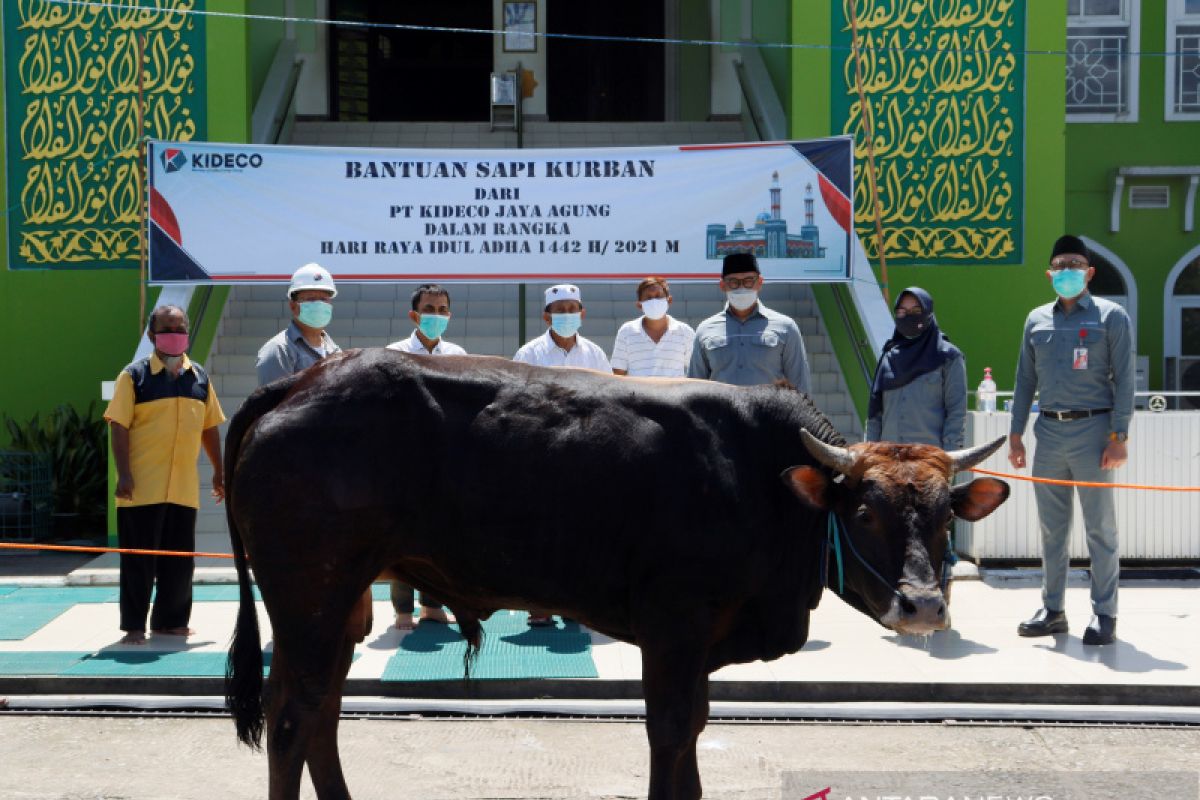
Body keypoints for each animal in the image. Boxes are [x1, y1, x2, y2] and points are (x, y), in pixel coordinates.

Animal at [226, 347, 1012, 800]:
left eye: (944, 515)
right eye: (866, 511)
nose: (923, 607)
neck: (759, 477)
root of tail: (305, 380)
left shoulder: (699, 642)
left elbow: (693, 730)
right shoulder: (674, 627)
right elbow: (669, 731)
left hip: (339, 607)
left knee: (321, 714)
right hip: (310, 597)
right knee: (293, 720)